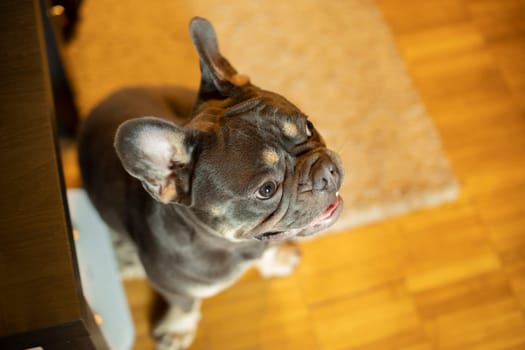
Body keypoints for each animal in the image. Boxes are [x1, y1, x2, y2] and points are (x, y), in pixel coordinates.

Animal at [79, 17, 344, 350]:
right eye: (266, 190)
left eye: (308, 127)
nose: (326, 170)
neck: (232, 244)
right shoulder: (173, 286)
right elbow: (184, 303)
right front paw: (178, 328)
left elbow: (269, 250)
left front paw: (276, 259)